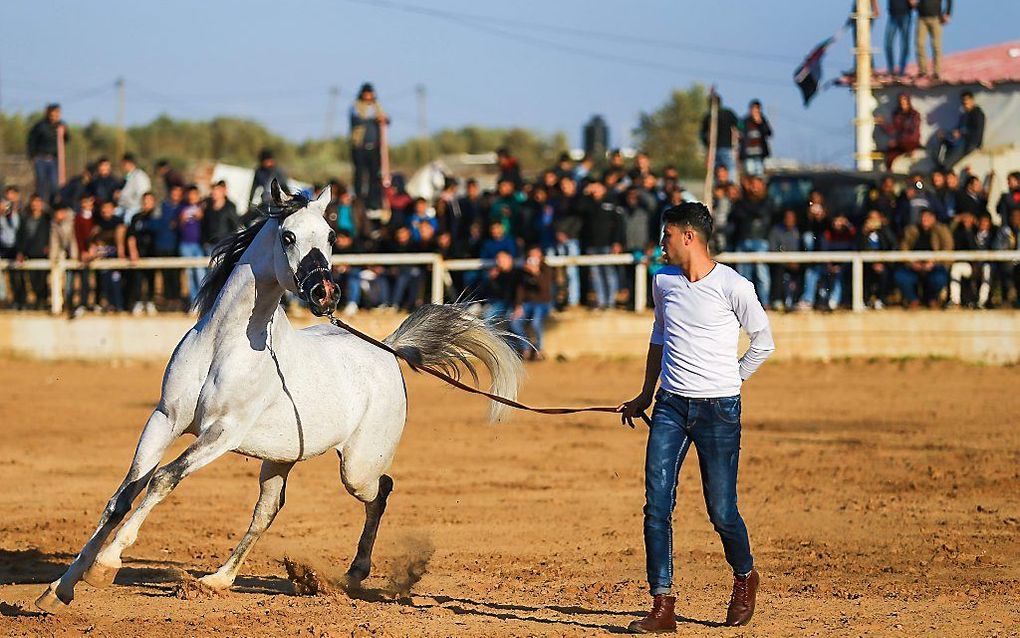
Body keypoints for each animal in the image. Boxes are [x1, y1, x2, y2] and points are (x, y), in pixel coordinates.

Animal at [35, 180, 522, 612]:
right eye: (288, 236)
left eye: (331, 237)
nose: (326, 293)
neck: (223, 345)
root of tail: (387, 348)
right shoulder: (164, 419)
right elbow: (122, 496)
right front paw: (59, 589)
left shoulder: (222, 433)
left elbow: (163, 479)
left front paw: (106, 565)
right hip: (280, 458)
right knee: (268, 510)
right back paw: (217, 580)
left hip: (357, 467)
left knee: (381, 490)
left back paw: (354, 573)